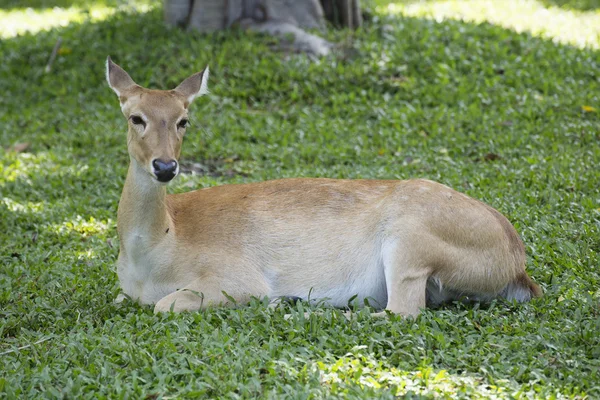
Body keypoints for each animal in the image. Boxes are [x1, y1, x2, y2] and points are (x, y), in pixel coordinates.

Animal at [105, 57, 540, 318]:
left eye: (184, 120)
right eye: (135, 117)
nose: (165, 166)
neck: (159, 249)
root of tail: (516, 264)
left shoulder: (236, 277)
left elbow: (165, 305)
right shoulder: (124, 290)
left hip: (411, 238)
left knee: (401, 310)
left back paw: (297, 303)